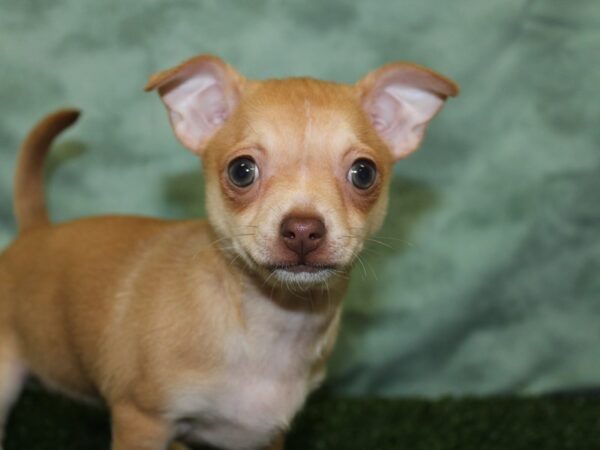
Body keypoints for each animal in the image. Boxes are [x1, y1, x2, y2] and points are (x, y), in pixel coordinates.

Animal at [0, 56, 458, 450]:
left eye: (364, 173)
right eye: (242, 171)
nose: (303, 229)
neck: (273, 323)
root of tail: (35, 231)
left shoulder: (269, 437)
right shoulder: (142, 422)